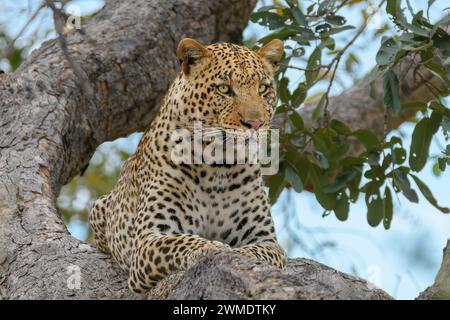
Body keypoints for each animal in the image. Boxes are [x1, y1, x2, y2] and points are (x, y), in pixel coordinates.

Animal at [89, 37, 286, 292]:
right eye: (224, 89)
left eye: (263, 88)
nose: (255, 124)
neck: (219, 165)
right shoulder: (148, 241)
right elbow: (186, 242)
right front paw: (213, 247)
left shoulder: (265, 239)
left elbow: (258, 252)